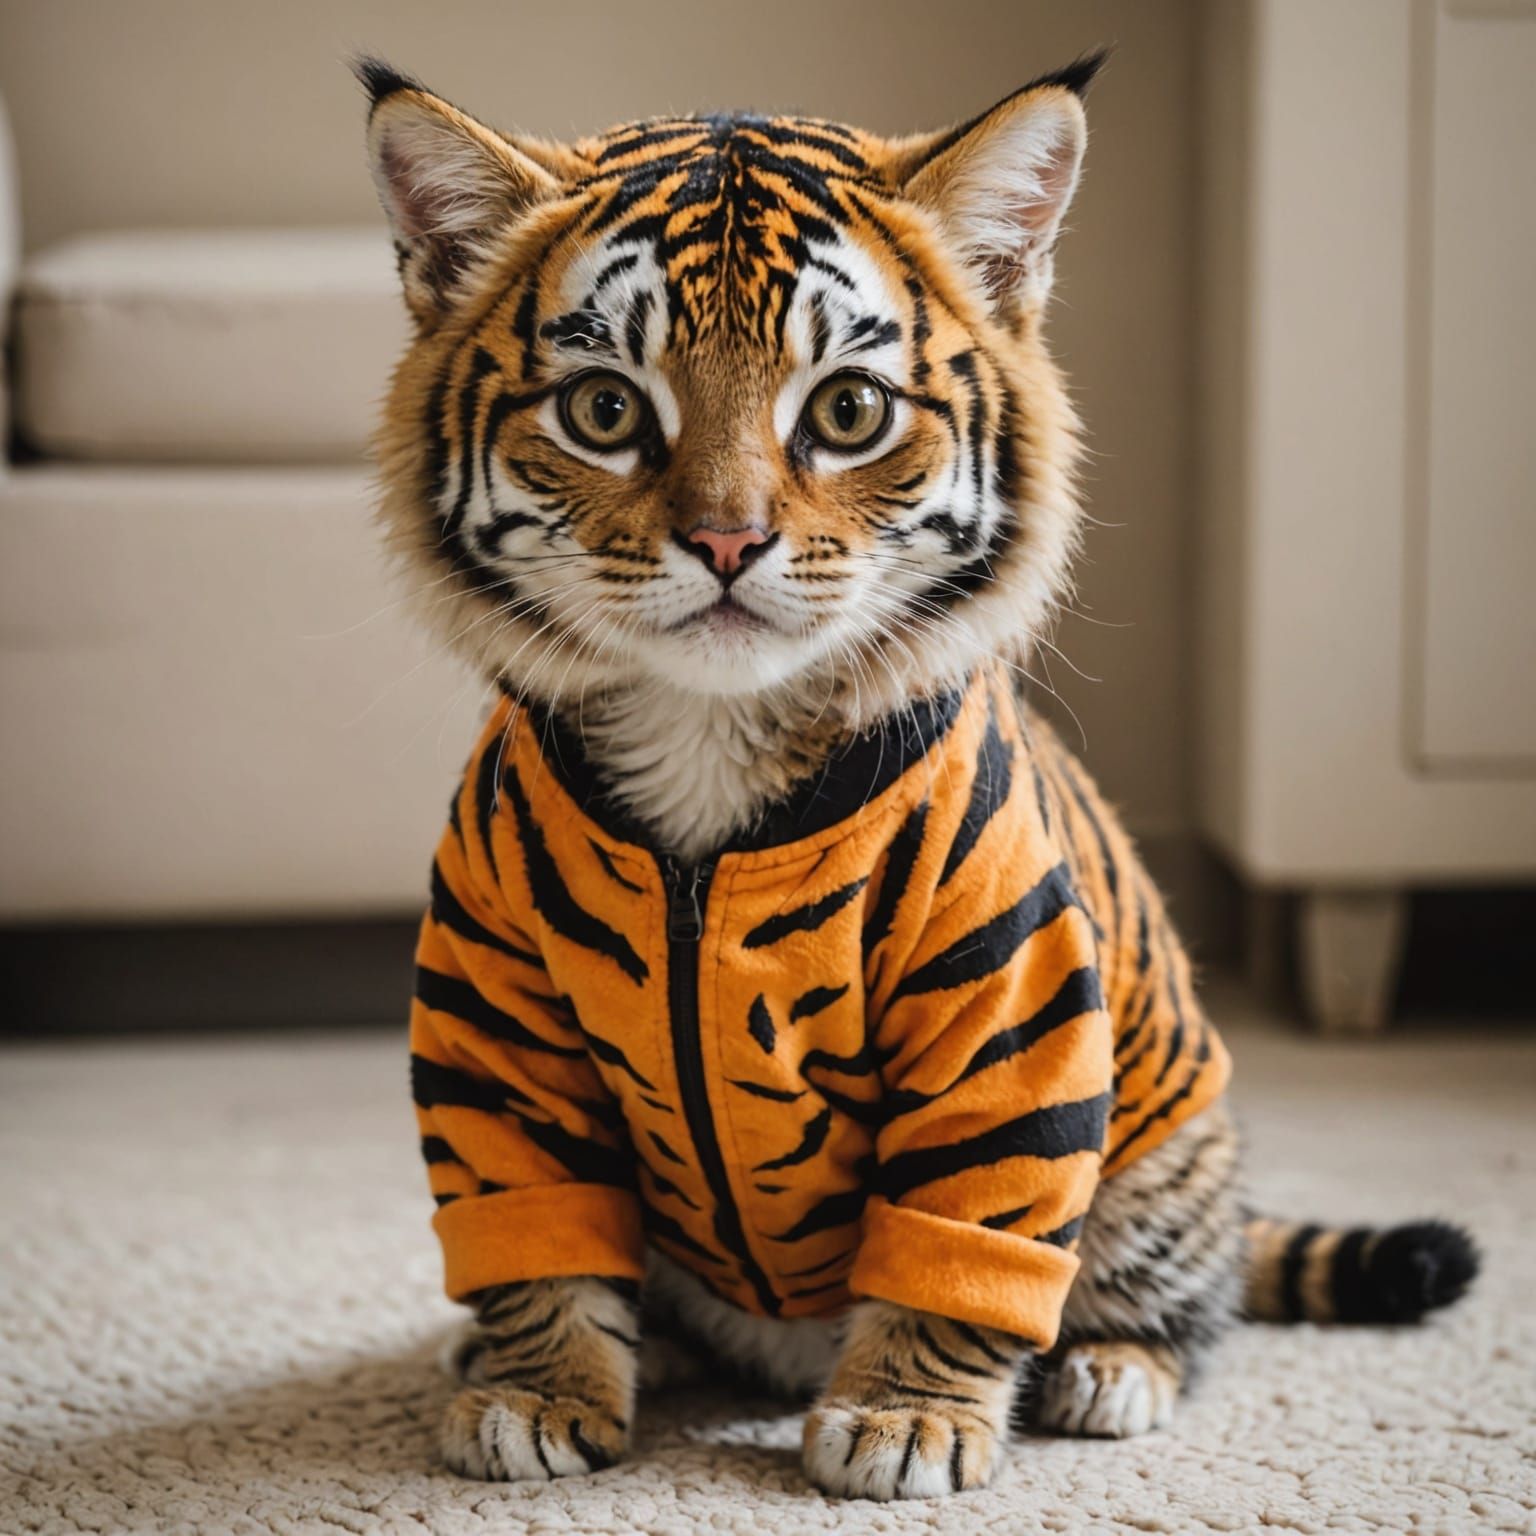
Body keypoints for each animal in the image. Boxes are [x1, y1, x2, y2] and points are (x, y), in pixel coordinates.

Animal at [354, 53, 1479, 1500]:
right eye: (606, 408)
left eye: (848, 410)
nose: (728, 541)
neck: (711, 738)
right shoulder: (495, 1014)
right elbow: (532, 1221)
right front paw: (537, 1393)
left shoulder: (1009, 1004)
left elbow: (965, 1231)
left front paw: (902, 1422)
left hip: (1166, 1148)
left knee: (1178, 1294)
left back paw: (1111, 1370)